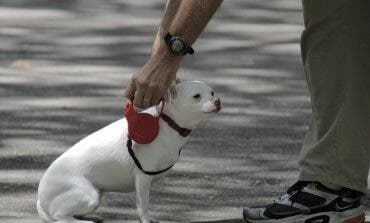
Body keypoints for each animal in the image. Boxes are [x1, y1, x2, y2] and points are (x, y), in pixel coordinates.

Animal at [36, 81, 223, 223]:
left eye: (212, 92)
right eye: (196, 96)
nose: (217, 100)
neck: (168, 123)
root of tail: (40, 198)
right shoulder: (143, 177)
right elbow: (143, 204)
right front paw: (146, 220)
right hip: (89, 195)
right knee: (59, 217)